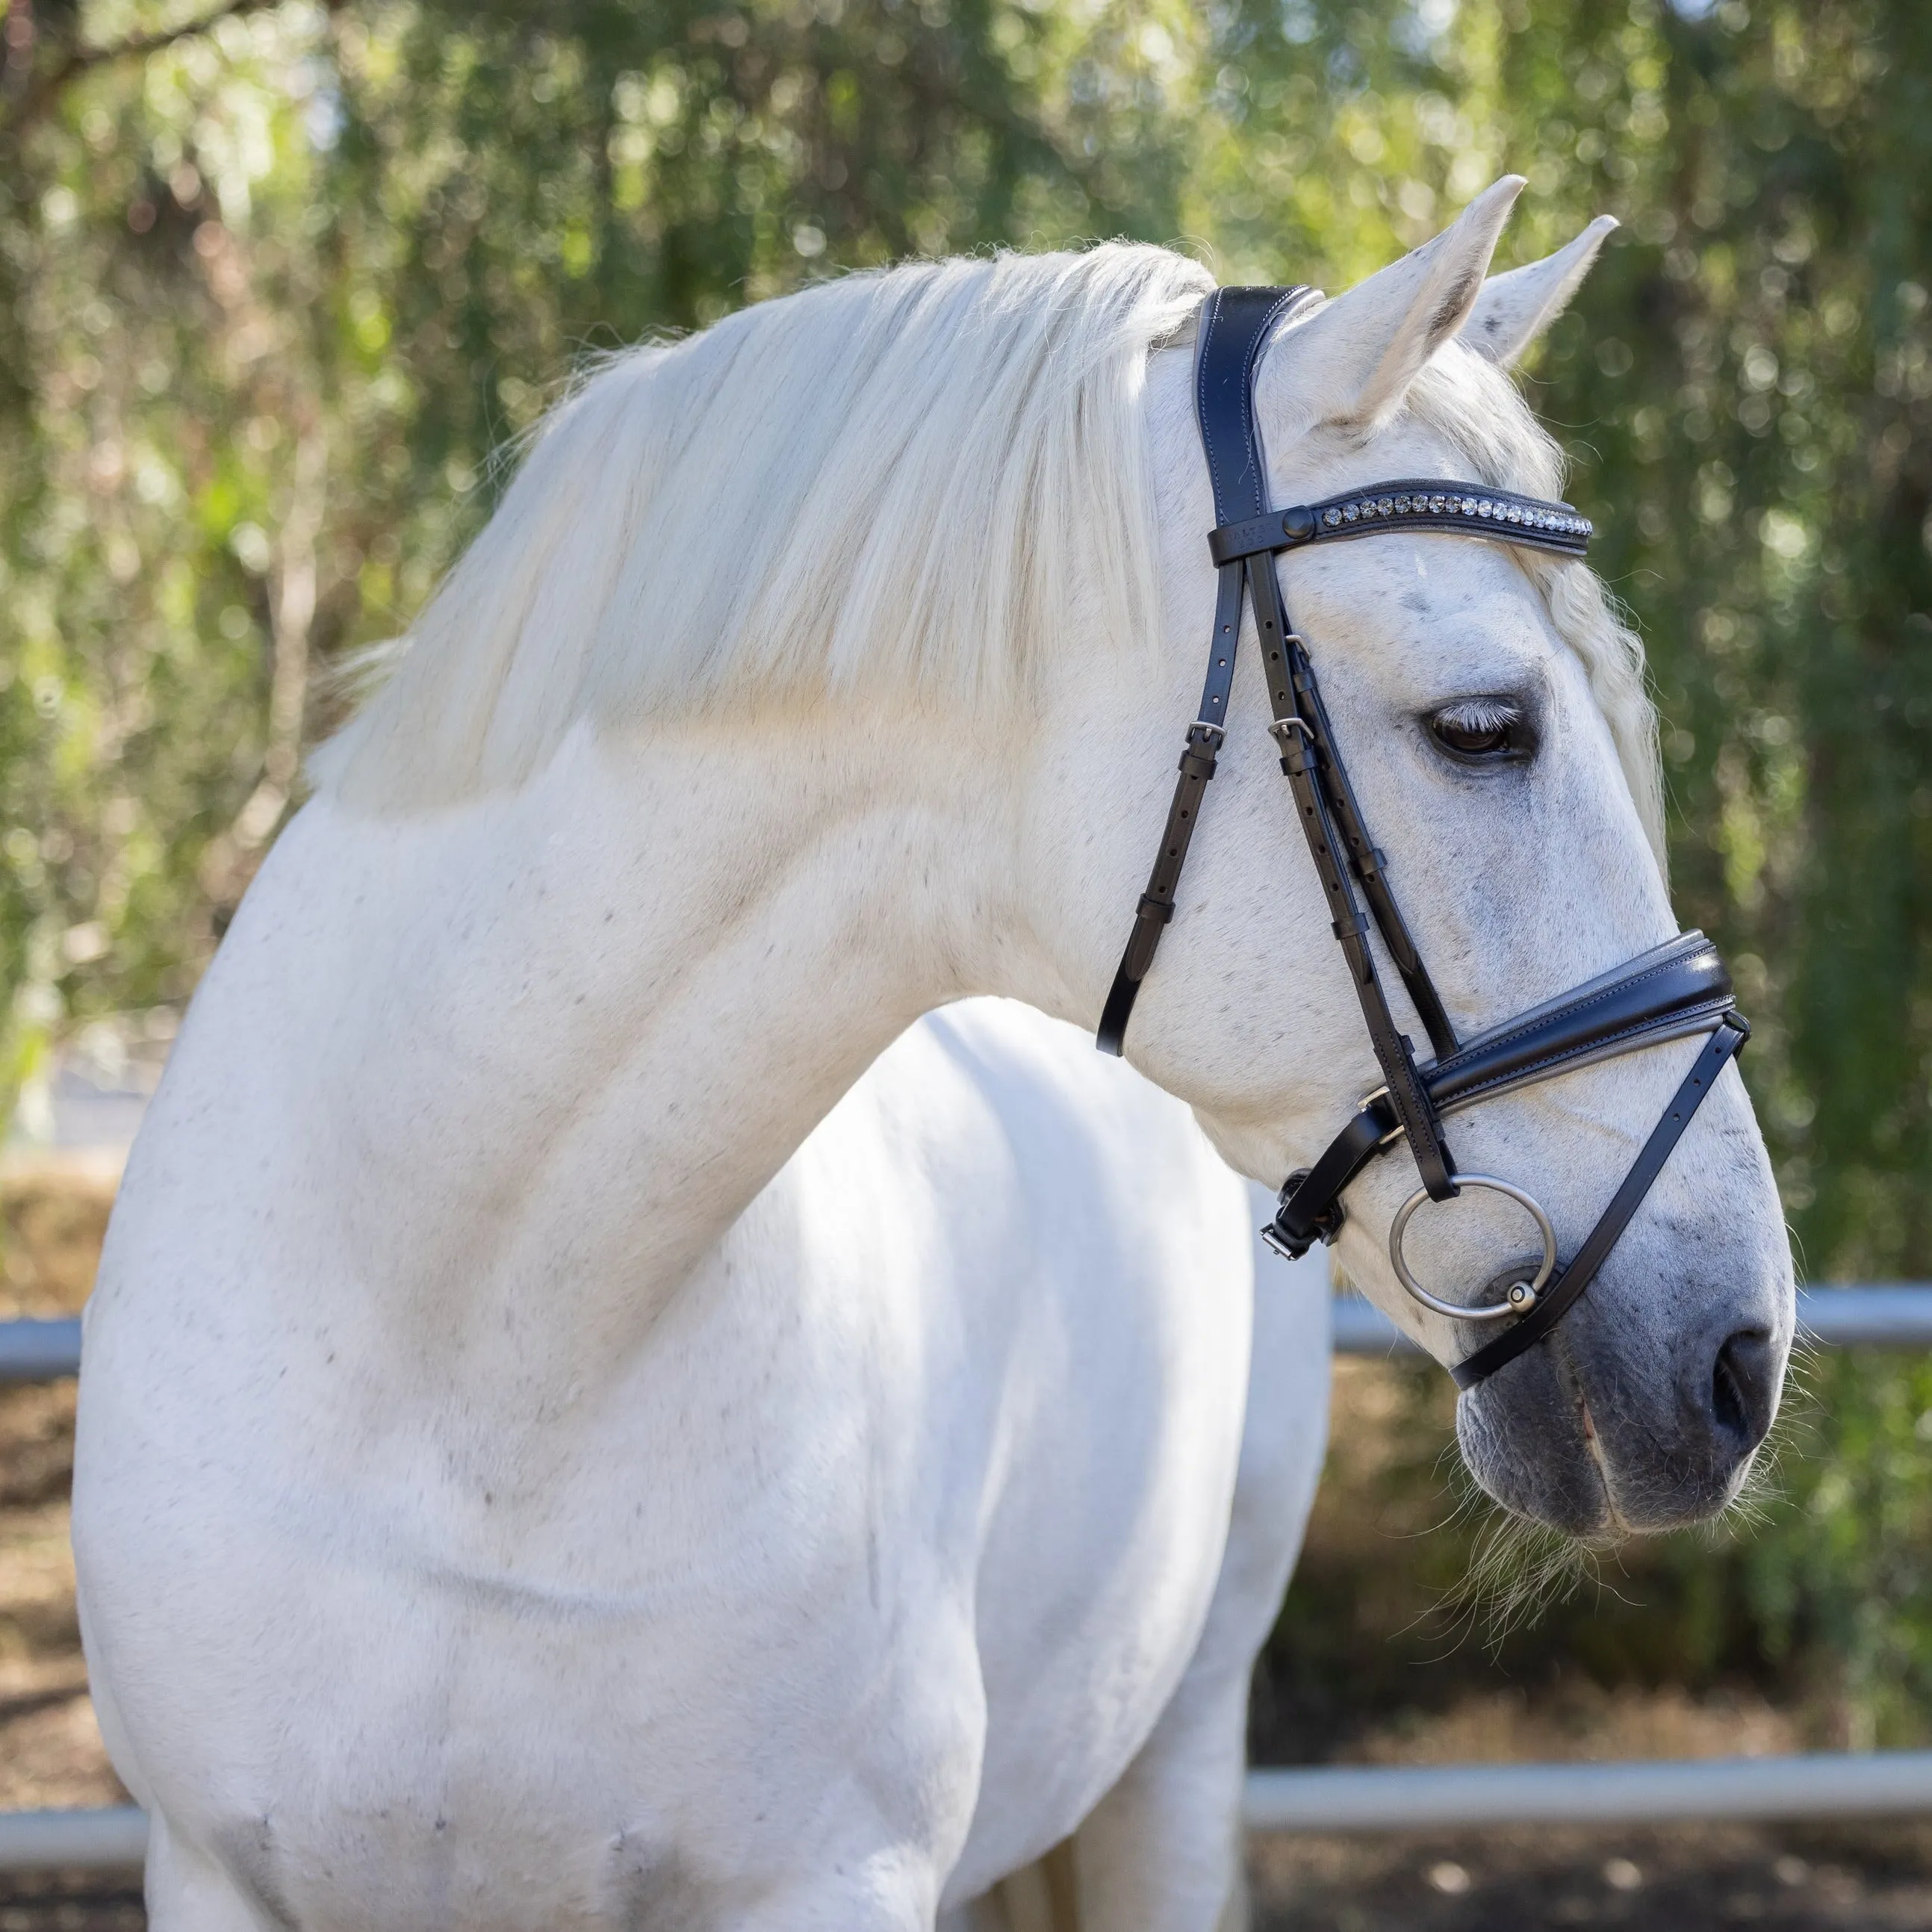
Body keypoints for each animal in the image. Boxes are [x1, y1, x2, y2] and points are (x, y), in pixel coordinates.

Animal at [75, 173, 1792, 1924]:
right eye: (1482, 727)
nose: (1740, 1354)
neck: (474, 1357)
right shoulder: (216, 1871)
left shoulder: (837, 1876)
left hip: (1179, 1742)